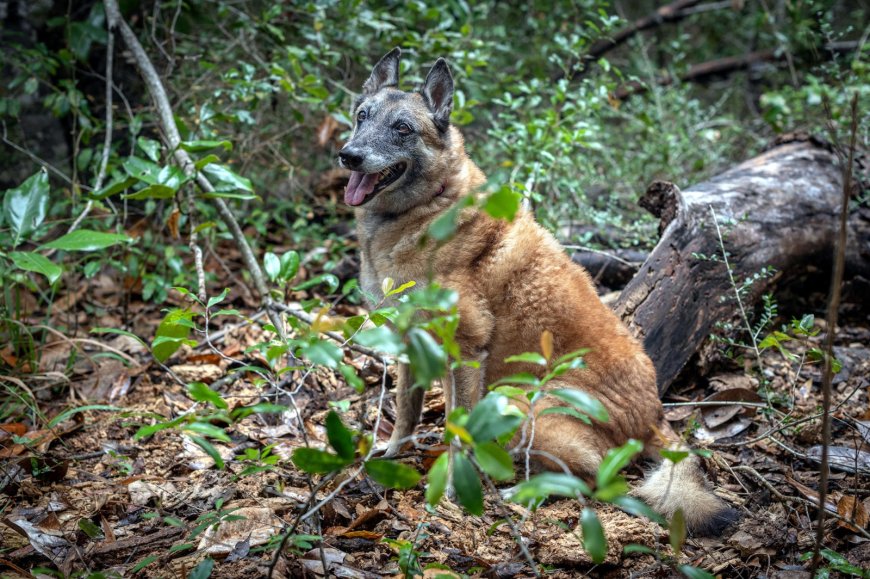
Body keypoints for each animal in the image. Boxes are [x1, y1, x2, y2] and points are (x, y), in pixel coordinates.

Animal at [344, 47, 740, 536]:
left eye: (402, 128)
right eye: (362, 117)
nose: (349, 156)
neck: (428, 208)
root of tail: (655, 415)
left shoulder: (465, 353)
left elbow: (457, 428)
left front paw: (453, 488)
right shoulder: (410, 343)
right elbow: (405, 409)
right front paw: (394, 451)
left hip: (516, 402)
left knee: (595, 479)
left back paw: (524, 493)